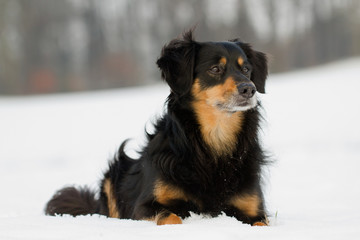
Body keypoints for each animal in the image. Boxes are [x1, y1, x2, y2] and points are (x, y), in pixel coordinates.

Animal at [45, 29, 268, 225]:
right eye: (215, 69)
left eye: (246, 69)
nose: (249, 89)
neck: (214, 141)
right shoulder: (143, 207)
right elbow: (171, 218)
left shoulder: (254, 210)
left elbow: (260, 224)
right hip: (113, 174)